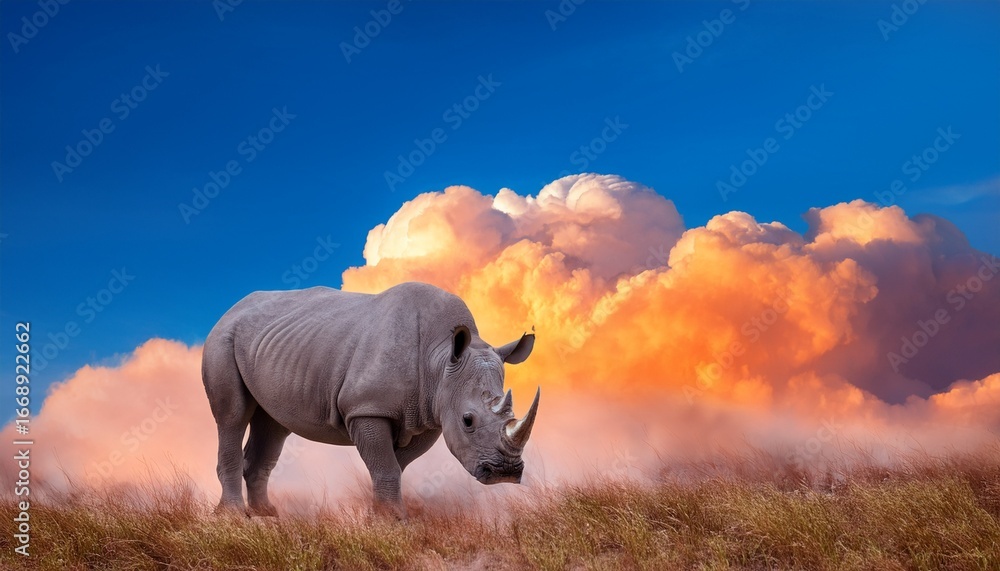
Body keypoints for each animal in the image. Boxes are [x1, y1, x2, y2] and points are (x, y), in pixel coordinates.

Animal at [201, 281, 539, 518]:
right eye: (468, 420)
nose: (505, 473)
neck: (440, 361)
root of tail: (230, 310)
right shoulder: (366, 409)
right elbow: (386, 466)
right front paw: (392, 522)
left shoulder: (429, 416)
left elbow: (392, 467)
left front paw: (378, 518)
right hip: (223, 339)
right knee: (232, 418)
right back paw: (234, 517)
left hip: (273, 346)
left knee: (273, 425)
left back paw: (267, 515)